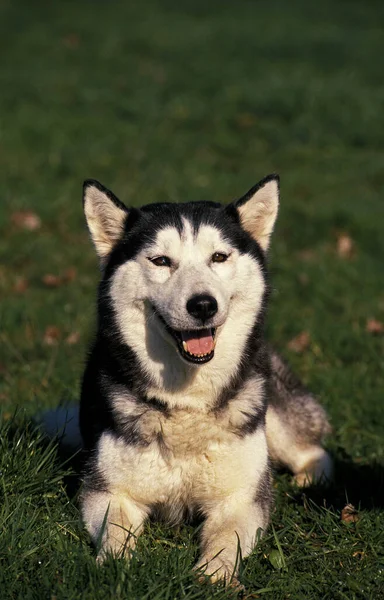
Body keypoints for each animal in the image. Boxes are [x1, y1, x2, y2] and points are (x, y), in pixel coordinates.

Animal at [79, 176, 332, 584]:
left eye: (219, 257)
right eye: (161, 261)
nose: (202, 305)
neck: (187, 399)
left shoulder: (242, 497)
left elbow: (227, 537)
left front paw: (212, 576)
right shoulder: (107, 490)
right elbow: (115, 531)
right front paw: (116, 570)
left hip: (271, 409)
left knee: (313, 451)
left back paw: (308, 481)